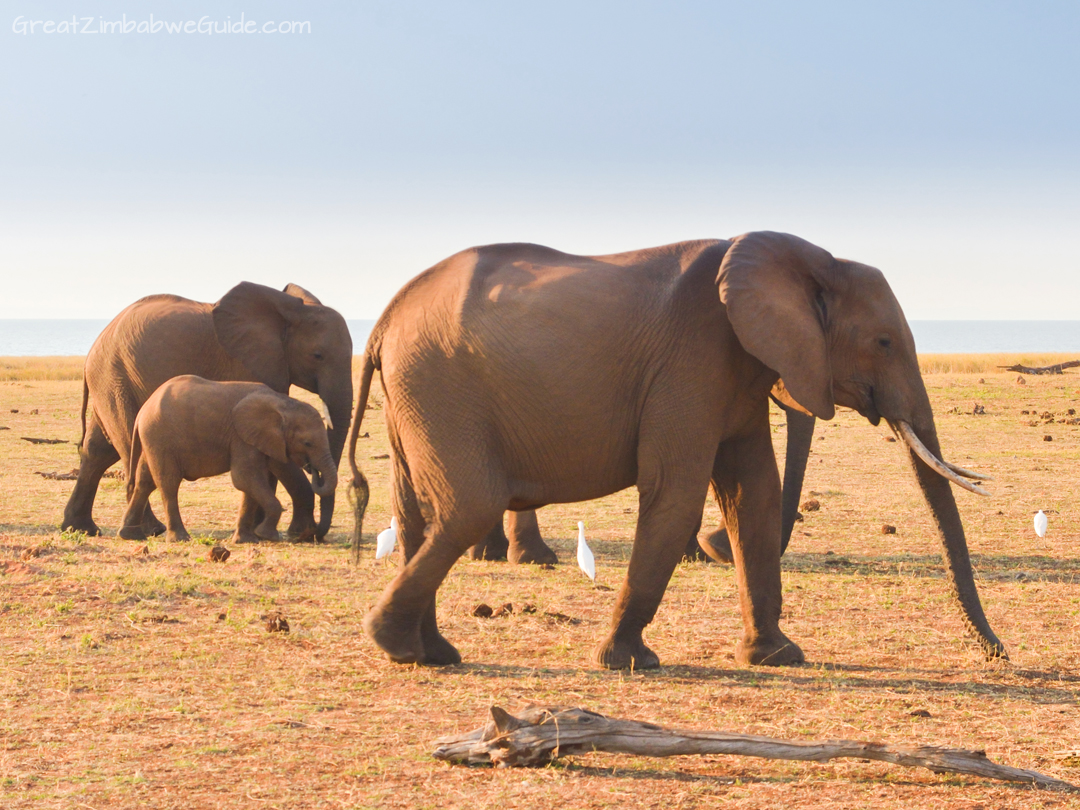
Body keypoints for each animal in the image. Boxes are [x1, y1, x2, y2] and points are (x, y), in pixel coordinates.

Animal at [118, 375, 336, 546]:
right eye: (307, 443)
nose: (312, 469)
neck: (283, 403)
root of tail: (143, 410)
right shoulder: (241, 437)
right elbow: (244, 478)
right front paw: (266, 535)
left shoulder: (258, 440)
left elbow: (251, 483)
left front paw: (247, 540)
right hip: (160, 437)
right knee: (168, 483)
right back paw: (180, 539)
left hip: (152, 439)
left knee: (144, 482)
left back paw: (130, 536)